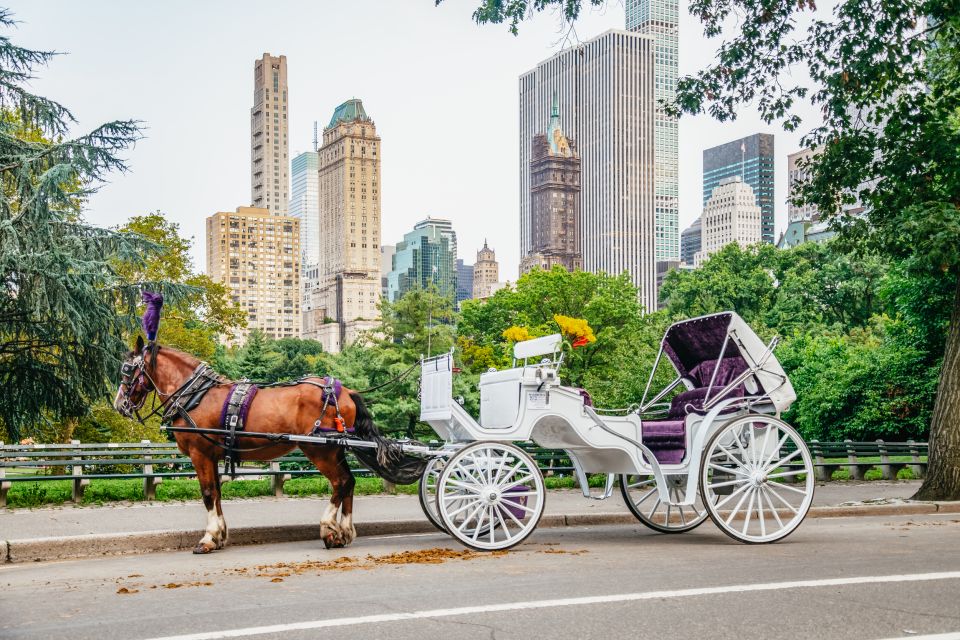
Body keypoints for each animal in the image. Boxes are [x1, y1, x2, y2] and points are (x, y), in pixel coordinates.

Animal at [114, 336, 380, 556]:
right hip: (335, 450)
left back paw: (328, 528)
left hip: (320, 450)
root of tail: (345, 391)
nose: (119, 405)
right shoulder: (212, 456)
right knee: (349, 482)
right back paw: (344, 531)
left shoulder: (200, 453)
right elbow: (217, 493)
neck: (196, 396)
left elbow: (208, 493)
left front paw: (208, 538)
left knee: (340, 482)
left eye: (127, 370)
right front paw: (220, 535)